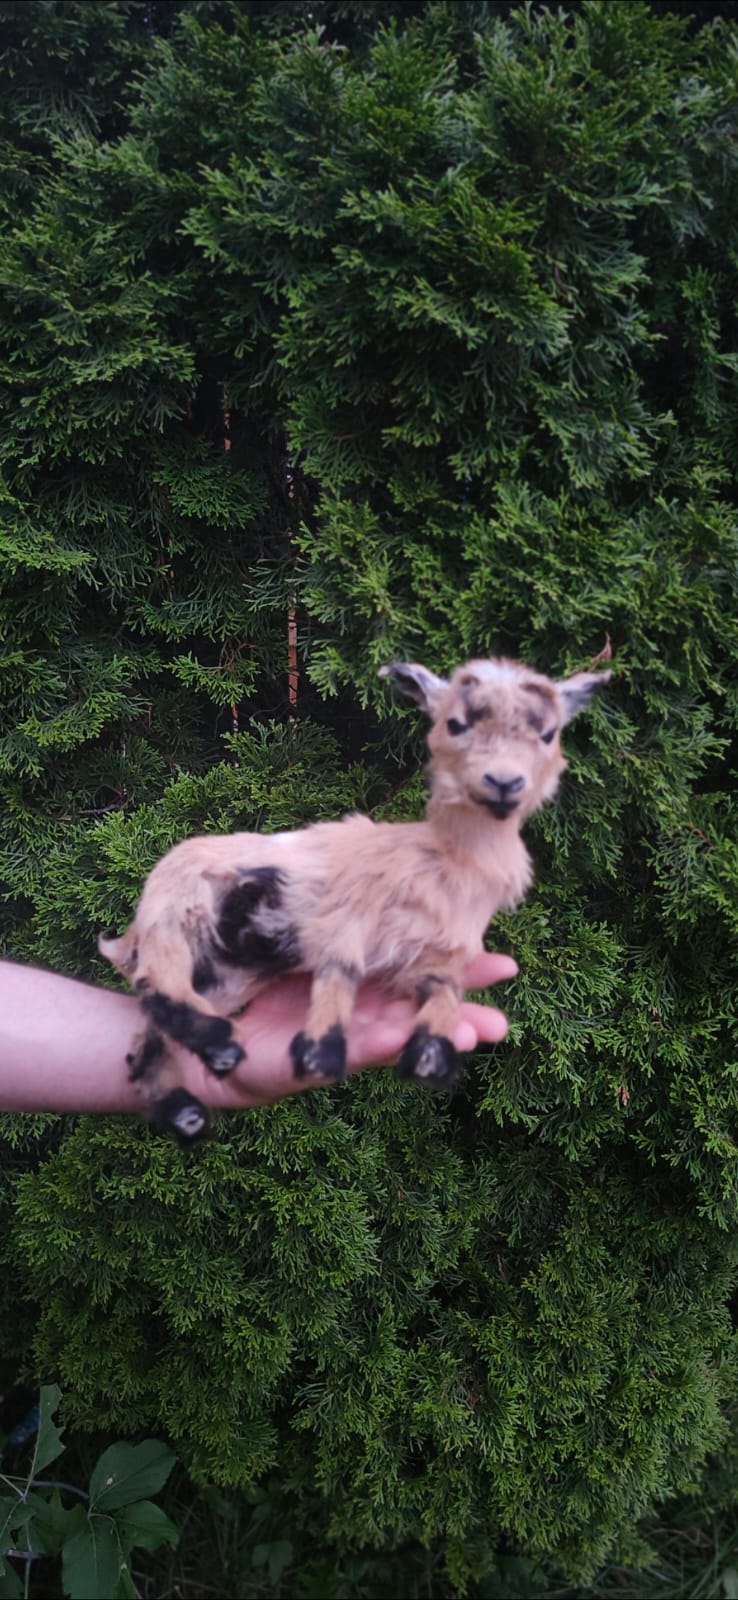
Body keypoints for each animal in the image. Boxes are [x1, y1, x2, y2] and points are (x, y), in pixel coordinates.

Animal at [99, 656, 610, 1144]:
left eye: (548, 733)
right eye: (455, 723)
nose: (504, 782)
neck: (446, 857)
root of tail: (132, 929)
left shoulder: (442, 952)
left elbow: (445, 994)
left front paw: (431, 1056)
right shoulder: (348, 916)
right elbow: (339, 974)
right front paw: (320, 1055)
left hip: (222, 974)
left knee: (147, 1035)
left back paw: (185, 1110)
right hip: (176, 912)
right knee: (158, 985)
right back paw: (219, 1045)